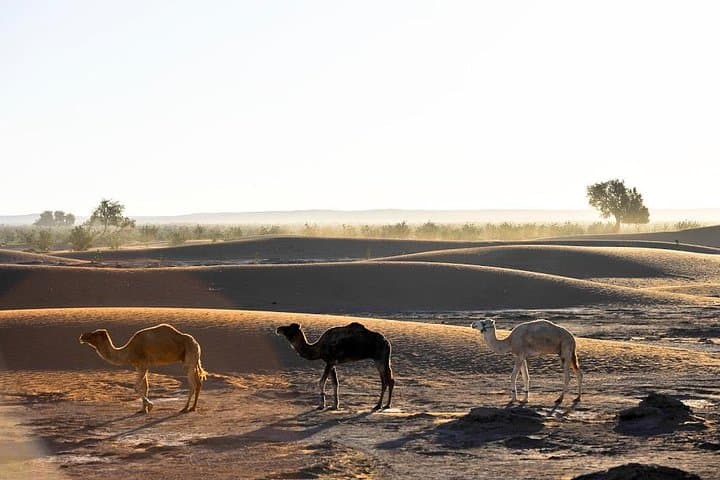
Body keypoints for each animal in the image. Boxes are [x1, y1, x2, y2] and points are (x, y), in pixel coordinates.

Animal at [79, 323, 208, 413]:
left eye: (95, 334)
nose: (82, 336)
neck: (129, 351)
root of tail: (196, 343)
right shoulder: (140, 366)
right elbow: (145, 387)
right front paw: (143, 409)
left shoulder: (143, 365)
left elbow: (136, 387)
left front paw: (150, 405)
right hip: (192, 360)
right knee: (198, 382)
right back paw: (193, 407)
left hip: (189, 356)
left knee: (192, 384)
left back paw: (185, 408)